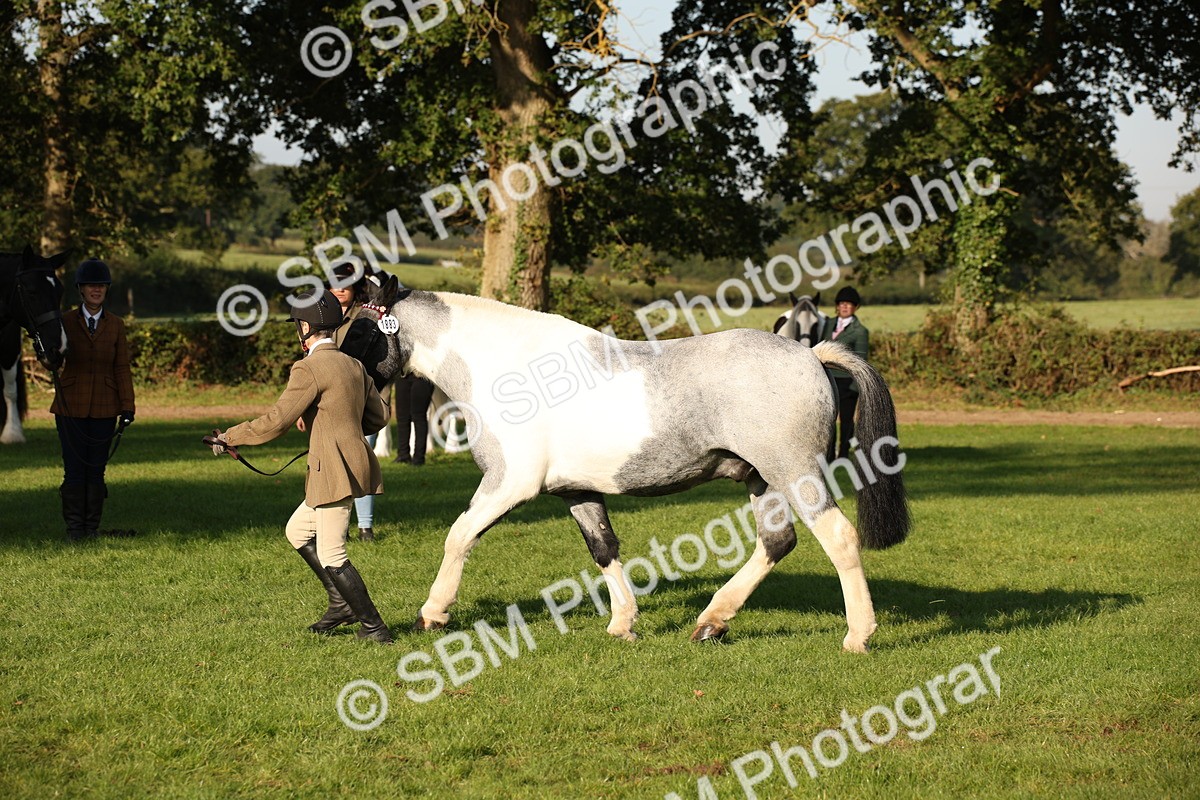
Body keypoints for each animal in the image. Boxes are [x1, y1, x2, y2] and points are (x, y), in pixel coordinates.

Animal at [346, 277, 909, 652]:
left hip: (796, 474)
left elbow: (458, 536)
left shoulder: (509, 485)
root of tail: (811, 356)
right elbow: (603, 548)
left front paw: (433, 613)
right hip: (761, 480)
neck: (510, 371)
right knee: (776, 543)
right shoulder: (575, 490)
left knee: (839, 538)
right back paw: (712, 621)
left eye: (359, 331)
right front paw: (623, 623)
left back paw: (858, 635)